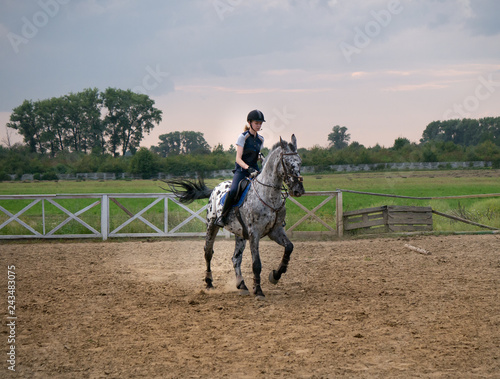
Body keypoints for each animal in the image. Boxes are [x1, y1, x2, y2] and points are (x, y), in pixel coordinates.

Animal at [165, 135, 304, 298]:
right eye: (287, 163)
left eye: (300, 162)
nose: (298, 190)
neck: (269, 195)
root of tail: (215, 189)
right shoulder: (254, 233)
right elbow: (256, 263)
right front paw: (258, 290)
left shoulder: (275, 231)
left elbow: (289, 247)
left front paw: (275, 275)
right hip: (211, 226)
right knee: (208, 252)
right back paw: (209, 283)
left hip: (240, 234)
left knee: (235, 258)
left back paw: (241, 284)